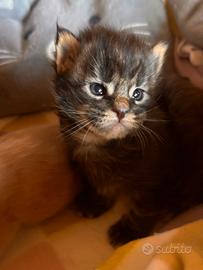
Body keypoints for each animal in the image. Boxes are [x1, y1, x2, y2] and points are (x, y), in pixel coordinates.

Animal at [52, 26, 181, 246]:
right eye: (97, 89)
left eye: (138, 94)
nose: (121, 111)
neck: (106, 146)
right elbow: (102, 185)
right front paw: (96, 201)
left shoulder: (155, 178)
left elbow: (145, 208)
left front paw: (129, 231)